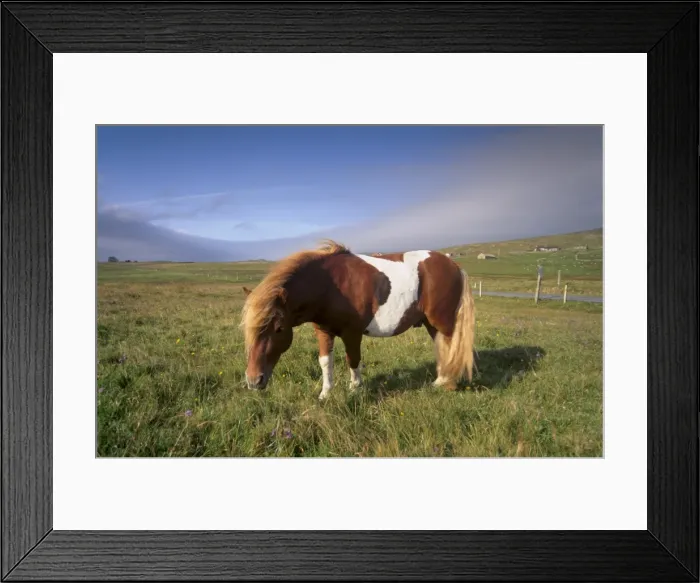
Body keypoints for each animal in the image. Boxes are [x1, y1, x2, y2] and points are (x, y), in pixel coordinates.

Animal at [240, 240, 476, 400]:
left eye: (279, 328)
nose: (253, 380)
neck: (329, 285)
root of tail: (455, 266)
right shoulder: (323, 331)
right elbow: (325, 361)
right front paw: (325, 394)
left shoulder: (351, 333)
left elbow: (352, 360)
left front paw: (355, 389)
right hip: (431, 323)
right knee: (442, 347)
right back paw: (440, 380)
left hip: (443, 322)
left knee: (451, 348)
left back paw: (449, 384)